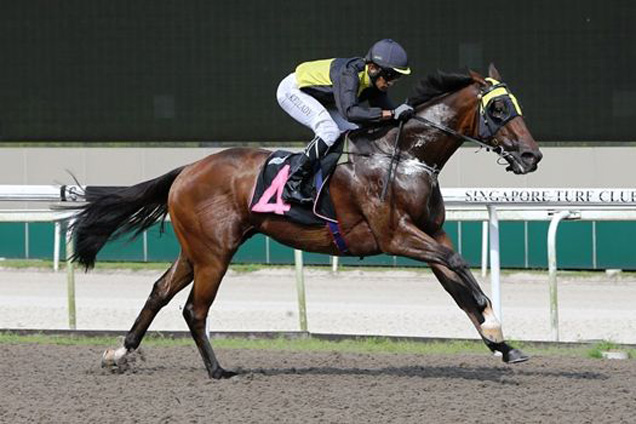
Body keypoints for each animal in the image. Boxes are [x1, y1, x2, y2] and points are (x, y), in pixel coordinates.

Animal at [73, 64, 540, 380]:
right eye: (500, 107)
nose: (532, 155)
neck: (406, 155)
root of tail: (187, 169)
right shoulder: (396, 236)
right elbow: (459, 265)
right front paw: (495, 326)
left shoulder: (430, 232)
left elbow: (458, 288)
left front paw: (504, 346)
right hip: (214, 254)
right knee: (194, 309)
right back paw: (218, 370)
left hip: (197, 250)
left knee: (159, 292)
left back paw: (120, 353)